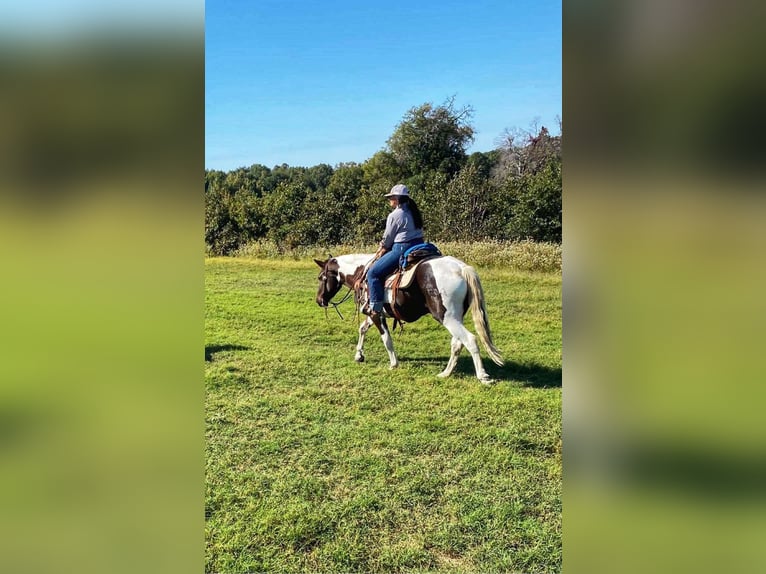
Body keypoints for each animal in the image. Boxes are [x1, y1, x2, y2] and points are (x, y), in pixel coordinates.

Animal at [314, 253, 504, 383]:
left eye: (321, 277)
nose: (319, 300)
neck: (363, 273)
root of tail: (461, 268)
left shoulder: (375, 314)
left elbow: (386, 339)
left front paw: (393, 364)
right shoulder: (375, 312)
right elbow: (362, 328)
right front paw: (359, 355)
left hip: (447, 318)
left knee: (470, 340)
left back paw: (483, 376)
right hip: (456, 318)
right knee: (457, 344)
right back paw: (446, 373)